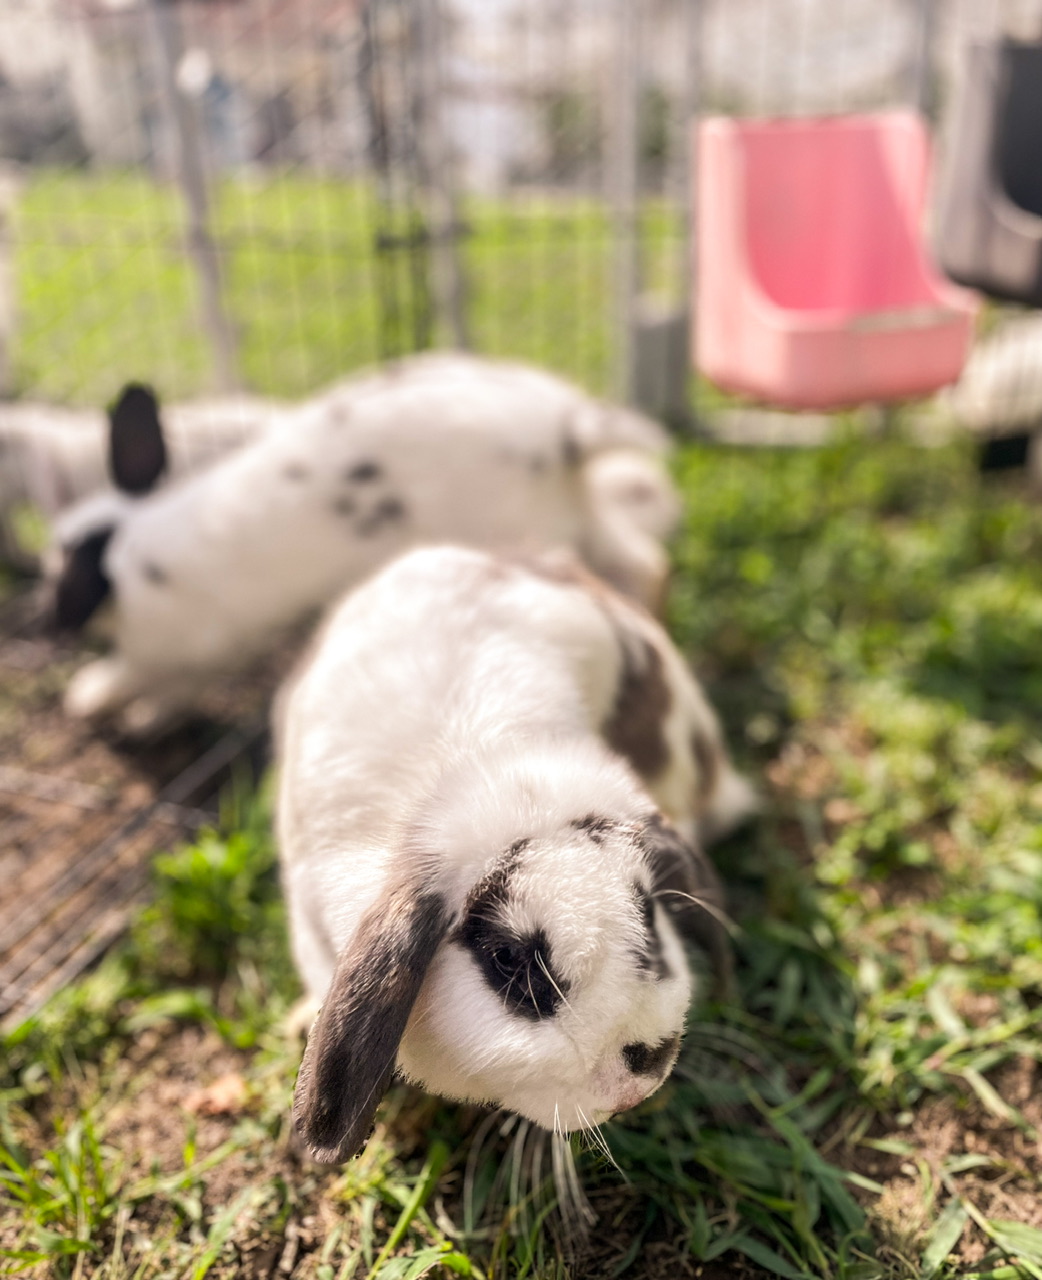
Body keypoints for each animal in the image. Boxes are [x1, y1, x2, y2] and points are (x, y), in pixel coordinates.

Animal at [50, 352, 678, 733]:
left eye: (63, 572)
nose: (48, 617)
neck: (125, 549)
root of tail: (563, 434)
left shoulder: (177, 645)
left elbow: (144, 677)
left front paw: (95, 700)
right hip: (582, 517)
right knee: (645, 562)